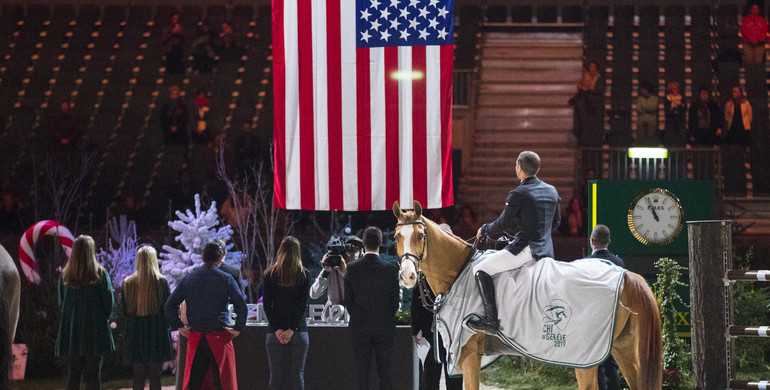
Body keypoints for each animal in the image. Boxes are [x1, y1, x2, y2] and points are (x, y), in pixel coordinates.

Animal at [390, 201, 660, 390]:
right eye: (396, 237)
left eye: (420, 236)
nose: (408, 276)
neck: (461, 270)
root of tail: (626, 276)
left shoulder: (468, 353)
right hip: (623, 349)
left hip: (585, 358)